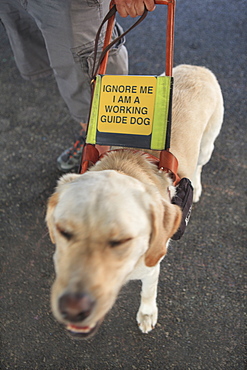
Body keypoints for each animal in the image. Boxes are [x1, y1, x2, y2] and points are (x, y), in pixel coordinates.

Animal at [46, 64, 224, 338]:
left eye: (121, 240)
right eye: (63, 231)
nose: (73, 310)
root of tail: (197, 67)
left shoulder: (152, 266)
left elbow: (148, 292)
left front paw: (147, 314)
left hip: (207, 144)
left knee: (200, 164)